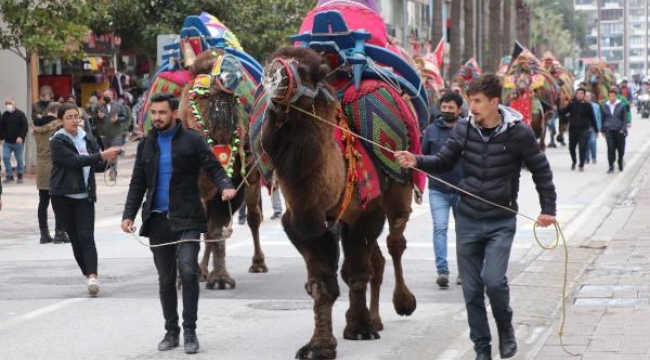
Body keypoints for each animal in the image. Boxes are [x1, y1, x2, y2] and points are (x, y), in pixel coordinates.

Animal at [140, 12, 266, 290]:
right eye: (202, 91)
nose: (228, 80)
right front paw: (185, 277)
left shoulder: (229, 182)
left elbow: (215, 229)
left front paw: (220, 278)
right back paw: (200, 271)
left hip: (252, 175)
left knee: (252, 216)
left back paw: (256, 263)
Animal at [248, 0, 426, 358]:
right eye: (275, 59)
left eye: (307, 72)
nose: (274, 73)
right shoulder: (303, 222)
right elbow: (322, 284)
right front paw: (319, 344)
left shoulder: (366, 211)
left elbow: (356, 272)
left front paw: (358, 329)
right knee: (378, 258)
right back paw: (376, 318)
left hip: (397, 187)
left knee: (394, 242)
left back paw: (402, 304)